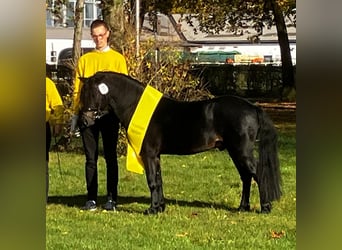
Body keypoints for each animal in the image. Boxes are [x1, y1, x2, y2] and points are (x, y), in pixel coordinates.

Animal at [79, 71, 282, 214]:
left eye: (93, 94)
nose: (85, 122)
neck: (136, 106)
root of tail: (253, 107)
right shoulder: (156, 156)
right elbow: (159, 180)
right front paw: (160, 207)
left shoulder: (149, 155)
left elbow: (152, 181)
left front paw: (151, 210)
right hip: (234, 151)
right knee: (246, 177)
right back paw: (243, 207)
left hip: (241, 151)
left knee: (256, 174)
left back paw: (265, 208)